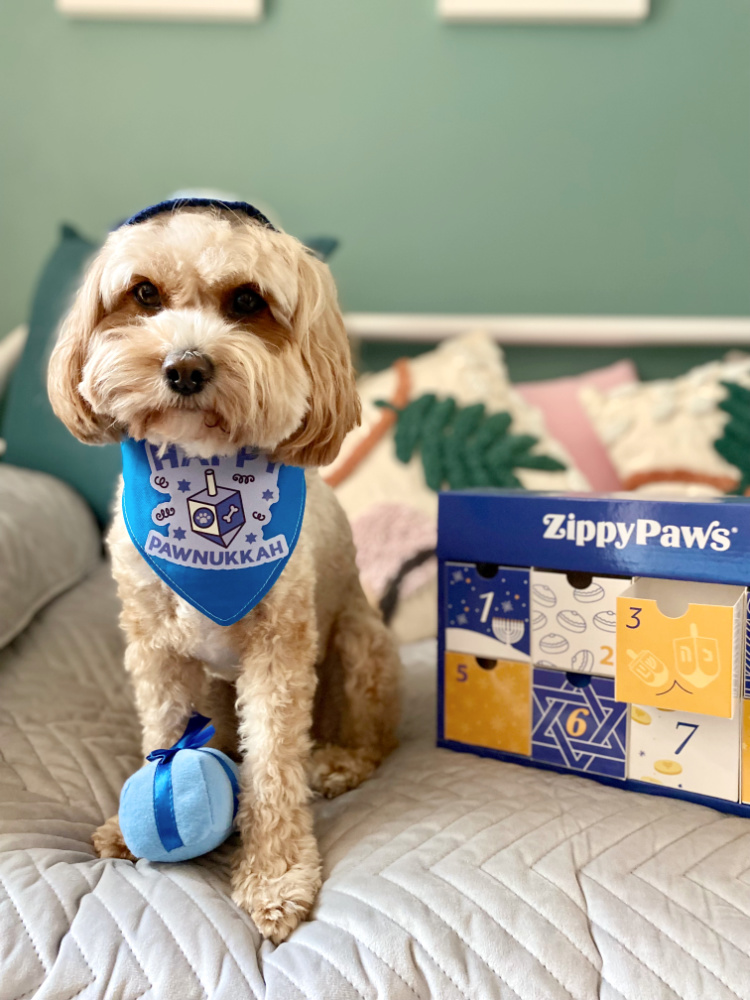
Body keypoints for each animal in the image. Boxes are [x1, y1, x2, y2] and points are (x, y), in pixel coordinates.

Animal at [48, 199, 400, 940]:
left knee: (369, 736)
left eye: (247, 301)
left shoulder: (280, 653)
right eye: (143, 294)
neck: (199, 470)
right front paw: (140, 813)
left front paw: (275, 877)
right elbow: (163, 729)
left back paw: (339, 762)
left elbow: (273, 767)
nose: (184, 367)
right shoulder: (155, 648)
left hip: (362, 647)